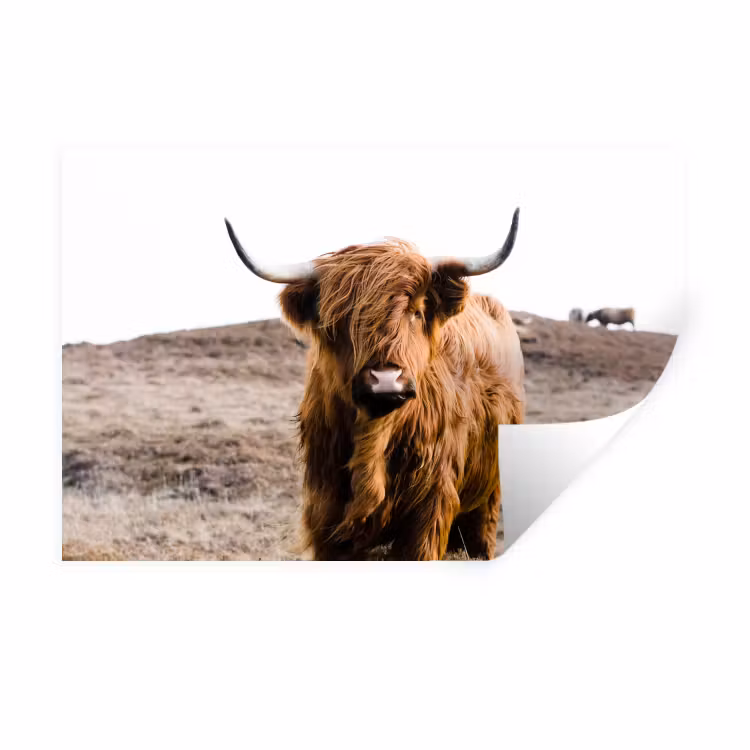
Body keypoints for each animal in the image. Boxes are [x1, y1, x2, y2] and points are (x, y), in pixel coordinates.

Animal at [224, 209, 525, 560]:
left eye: (416, 312)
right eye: (338, 319)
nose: (385, 380)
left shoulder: (428, 512)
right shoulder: (325, 513)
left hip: (488, 497)